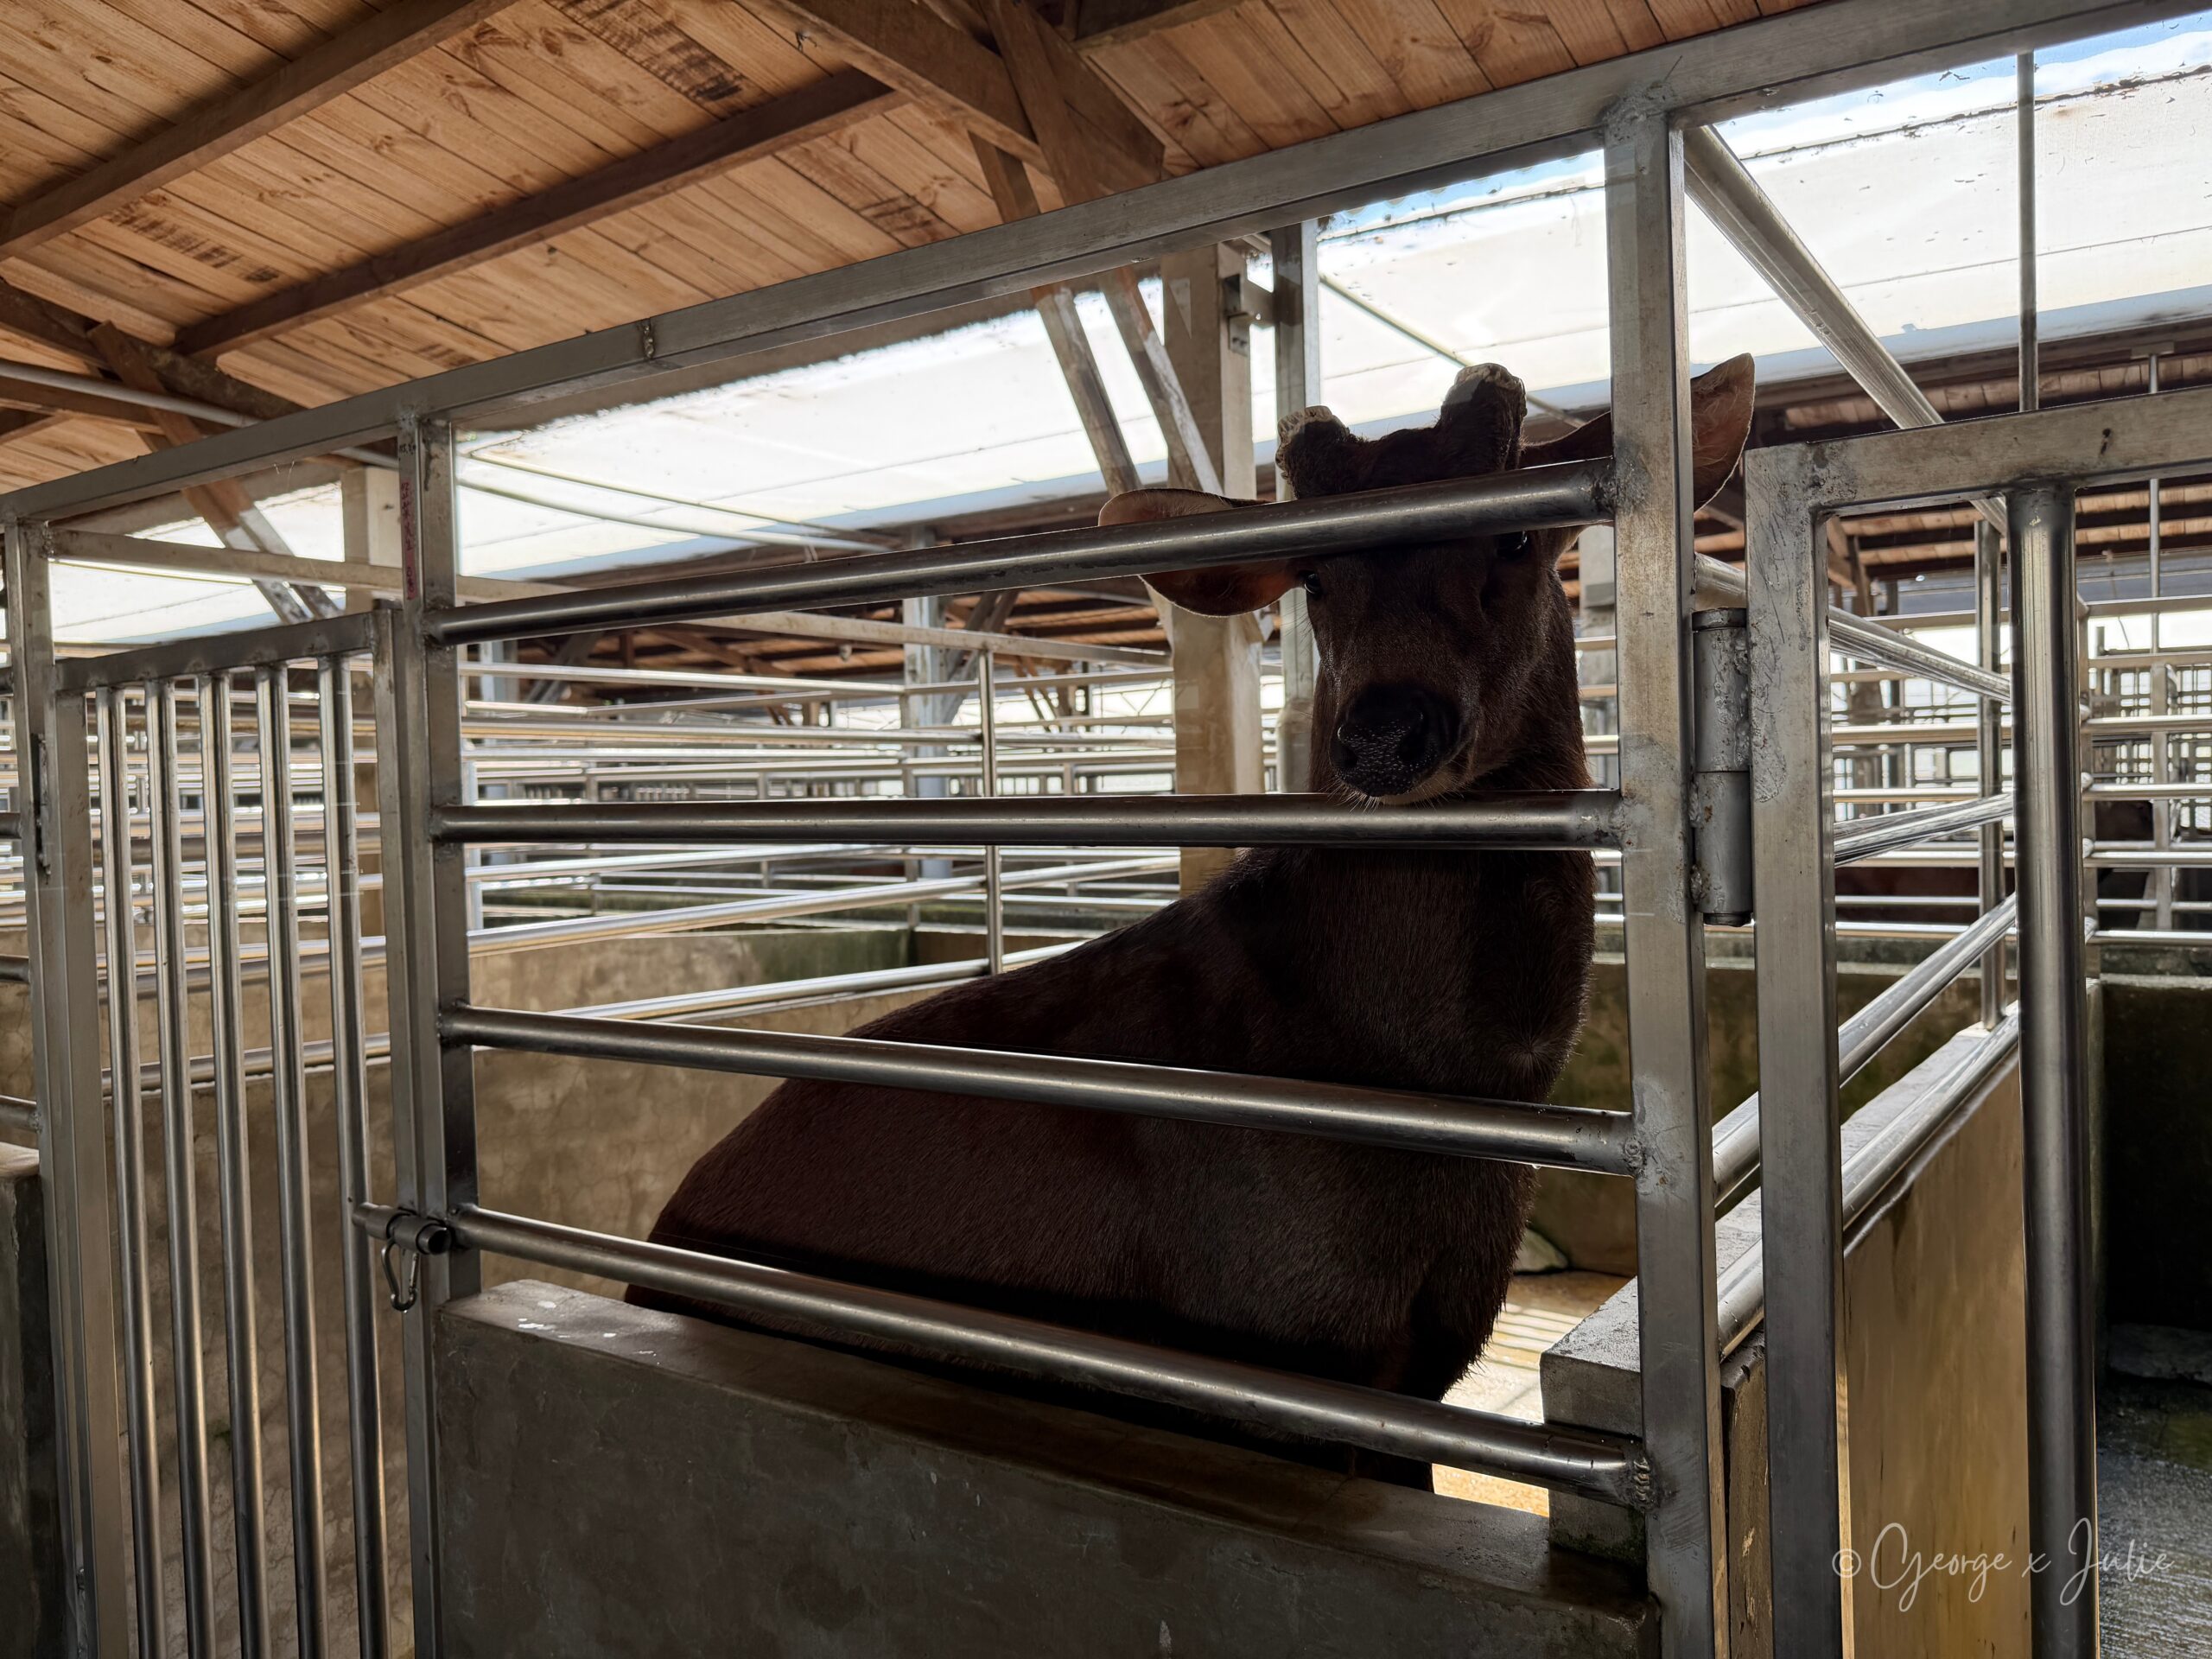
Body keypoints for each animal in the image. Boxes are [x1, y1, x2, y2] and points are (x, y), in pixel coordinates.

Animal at [633, 355, 1756, 1484]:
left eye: (1518, 537)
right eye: (1312, 574)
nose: (1386, 730)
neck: (1442, 1088)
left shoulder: (1417, 1377)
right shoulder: (1277, 1351)